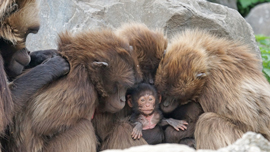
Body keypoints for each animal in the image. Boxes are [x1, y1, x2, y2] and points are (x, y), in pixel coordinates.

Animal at [8, 28, 142, 152]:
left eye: (126, 88)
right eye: (120, 87)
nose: (122, 100)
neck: (84, 65)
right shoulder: (81, 88)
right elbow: (43, 123)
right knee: (84, 128)